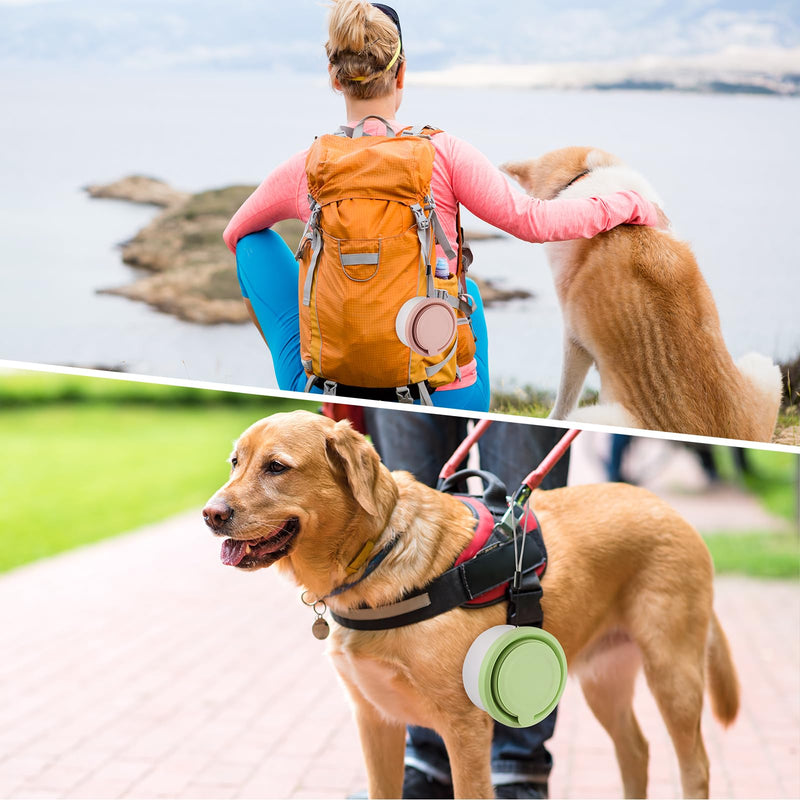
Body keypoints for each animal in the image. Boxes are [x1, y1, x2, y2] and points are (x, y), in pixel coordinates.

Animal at [203, 412, 740, 800]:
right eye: (234, 462)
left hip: (673, 675)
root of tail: (673, 513)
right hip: (604, 678)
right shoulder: (375, 719)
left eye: (277, 466)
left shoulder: (467, 729)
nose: (210, 514)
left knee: (696, 765)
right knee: (637, 751)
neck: (377, 555)